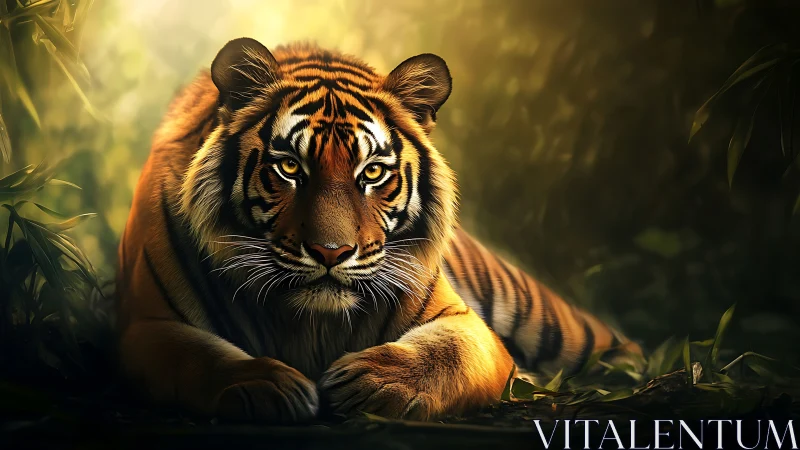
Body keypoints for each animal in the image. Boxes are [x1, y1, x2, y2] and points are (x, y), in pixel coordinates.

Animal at [116, 37, 642, 423]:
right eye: (289, 167)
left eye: (371, 172)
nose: (331, 252)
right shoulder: (147, 327)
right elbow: (199, 359)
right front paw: (264, 385)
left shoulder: (464, 321)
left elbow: (446, 353)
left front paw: (375, 382)